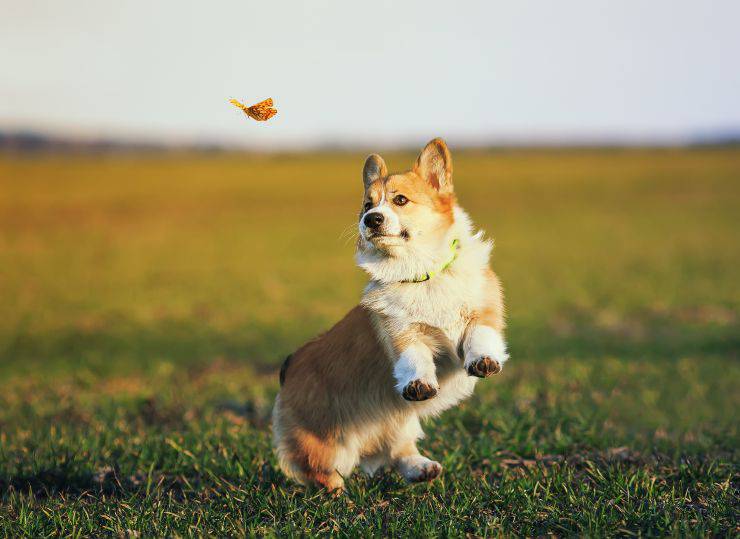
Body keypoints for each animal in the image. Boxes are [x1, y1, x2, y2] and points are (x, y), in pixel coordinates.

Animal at [274, 138, 508, 490]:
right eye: (366, 204)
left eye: (400, 200)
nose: (371, 219)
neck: (421, 274)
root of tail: (289, 366)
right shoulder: (401, 331)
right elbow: (413, 356)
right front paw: (419, 383)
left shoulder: (483, 310)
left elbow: (481, 333)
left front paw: (484, 360)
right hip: (327, 444)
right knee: (321, 470)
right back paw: (336, 493)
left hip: (399, 420)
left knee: (397, 449)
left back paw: (420, 468)